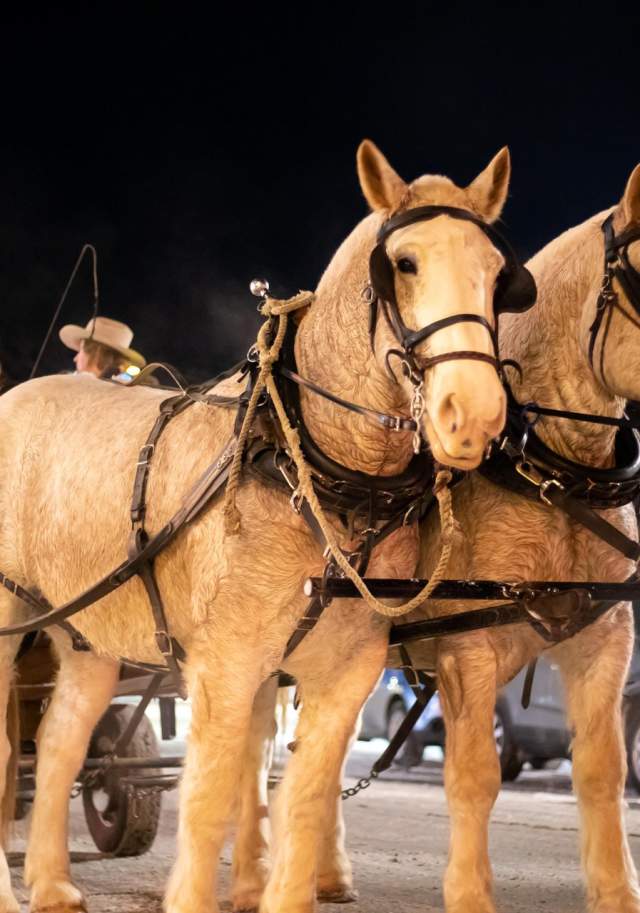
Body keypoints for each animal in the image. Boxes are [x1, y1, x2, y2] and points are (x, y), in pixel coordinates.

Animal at [0, 140, 516, 913]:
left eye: (495, 271)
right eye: (405, 263)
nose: (474, 414)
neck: (308, 467)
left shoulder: (343, 675)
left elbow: (299, 798)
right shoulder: (225, 664)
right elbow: (211, 797)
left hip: (87, 630)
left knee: (61, 741)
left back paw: (53, 881)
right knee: (11, 754)